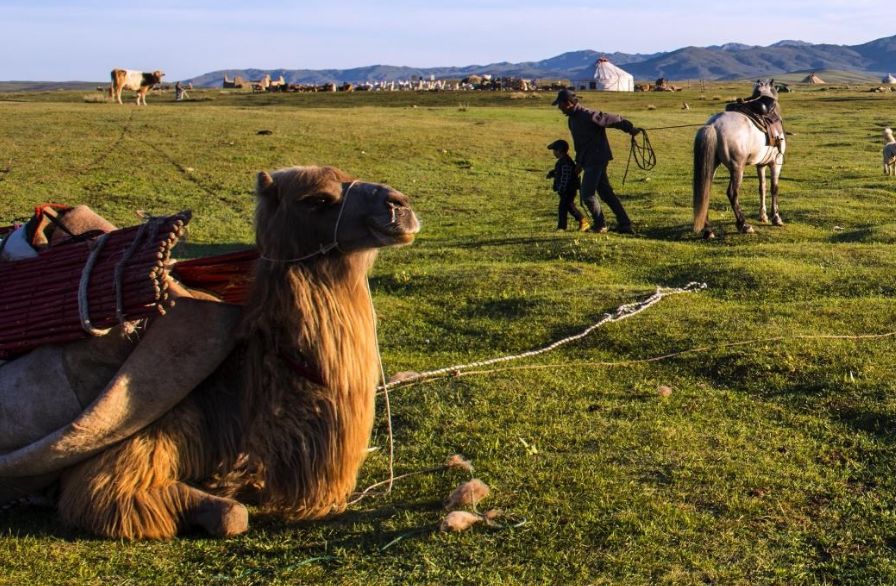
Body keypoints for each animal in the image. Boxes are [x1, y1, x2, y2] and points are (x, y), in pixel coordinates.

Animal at [692, 80, 784, 237]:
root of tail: (714, 125)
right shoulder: (776, 163)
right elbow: (774, 188)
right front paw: (776, 218)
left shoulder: (761, 165)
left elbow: (762, 187)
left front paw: (763, 216)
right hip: (737, 168)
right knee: (732, 193)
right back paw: (743, 225)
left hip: (711, 165)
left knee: (706, 192)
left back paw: (708, 230)